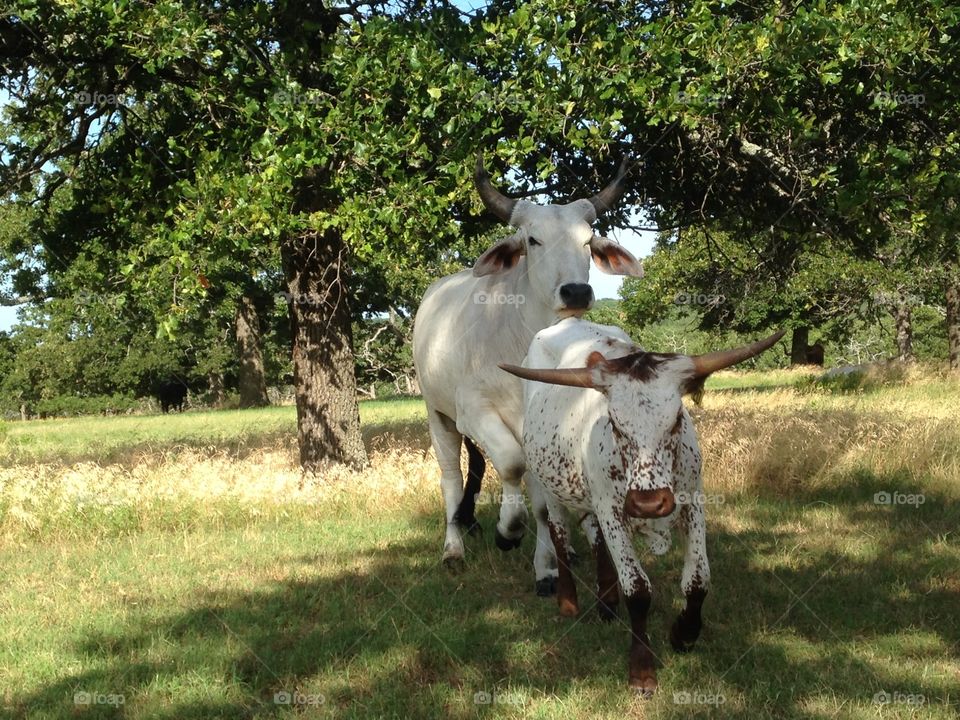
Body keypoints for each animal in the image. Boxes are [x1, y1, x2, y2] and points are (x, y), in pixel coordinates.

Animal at [412, 156, 644, 593]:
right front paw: (508, 531)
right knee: (450, 478)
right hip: (439, 415)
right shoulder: (476, 411)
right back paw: (453, 548)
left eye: (587, 241)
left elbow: (542, 503)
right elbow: (510, 463)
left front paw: (547, 568)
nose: (575, 292)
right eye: (533, 240)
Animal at [500, 318, 783, 694]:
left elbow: (698, 579)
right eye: (616, 424)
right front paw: (642, 669)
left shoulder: (693, 503)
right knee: (559, 534)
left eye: (676, 419)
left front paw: (684, 634)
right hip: (550, 485)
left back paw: (606, 604)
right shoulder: (613, 510)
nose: (649, 502)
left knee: (595, 538)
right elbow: (637, 588)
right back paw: (568, 601)